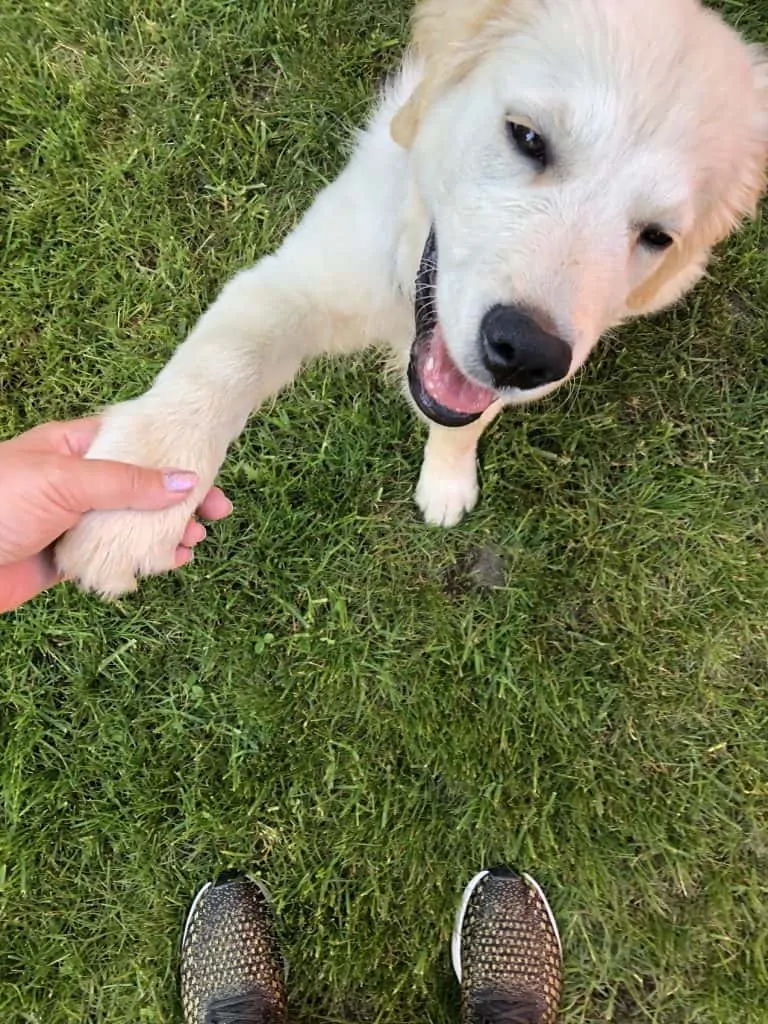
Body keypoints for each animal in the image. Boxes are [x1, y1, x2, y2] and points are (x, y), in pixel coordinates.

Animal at [55, 0, 768, 598]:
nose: (525, 353)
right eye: (527, 138)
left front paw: (446, 483)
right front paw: (140, 500)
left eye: (657, 237)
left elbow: (463, 419)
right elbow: (225, 360)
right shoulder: (301, 276)